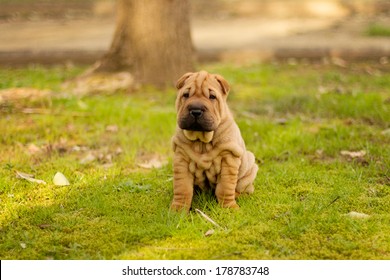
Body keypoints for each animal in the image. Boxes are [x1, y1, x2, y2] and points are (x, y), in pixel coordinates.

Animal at [171, 71, 258, 211]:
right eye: (186, 95)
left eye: (212, 97)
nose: (196, 110)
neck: (201, 141)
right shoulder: (181, 159)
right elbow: (182, 188)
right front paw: (178, 210)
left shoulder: (229, 159)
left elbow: (225, 188)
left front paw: (229, 207)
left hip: (250, 165)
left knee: (245, 188)